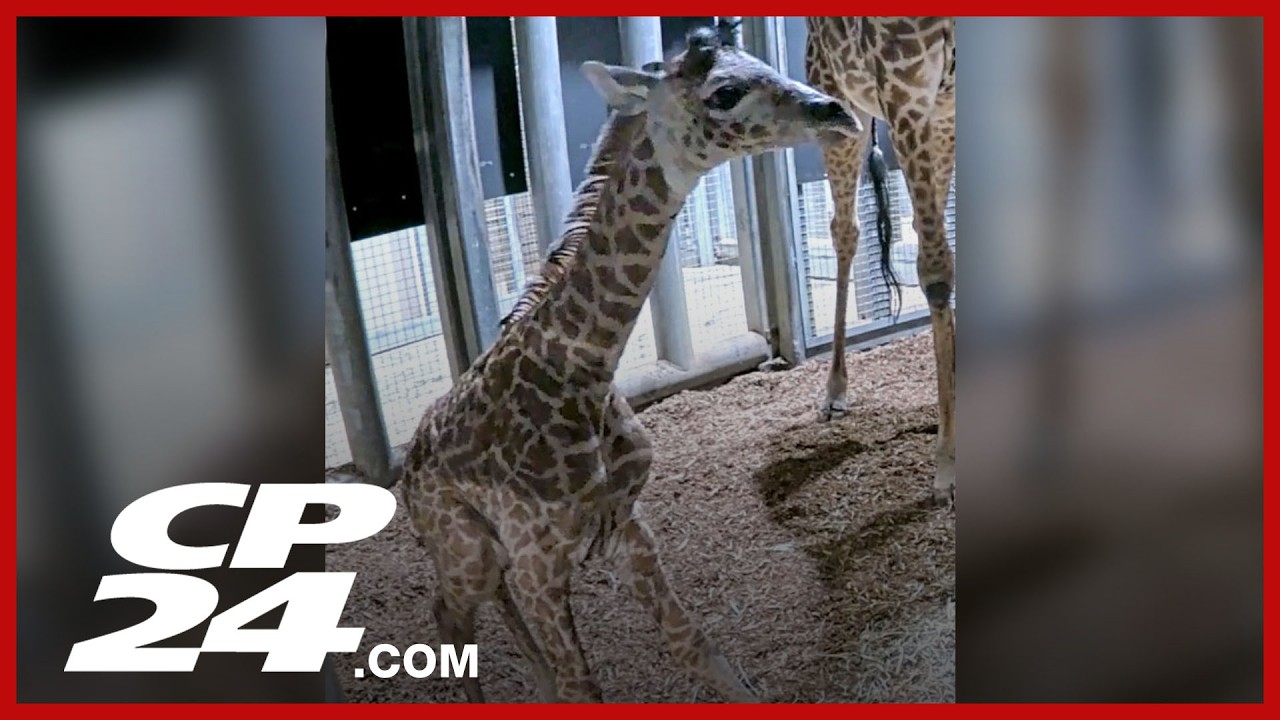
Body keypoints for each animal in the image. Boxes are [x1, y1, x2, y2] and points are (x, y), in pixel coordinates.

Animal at [395, 26, 861, 703]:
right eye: (724, 92)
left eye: (761, 60)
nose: (838, 113)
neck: (584, 376)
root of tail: (405, 475)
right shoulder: (540, 566)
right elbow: (584, 690)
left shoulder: (627, 529)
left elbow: (696, 647)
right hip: (466, 552)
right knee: (447, 615)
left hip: (488, 559)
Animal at [804, 17, 957, 507]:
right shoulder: (905, 89)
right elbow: (935, 272)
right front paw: (947, 467)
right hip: (840, 102)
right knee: (846, 229)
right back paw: (834, 391)